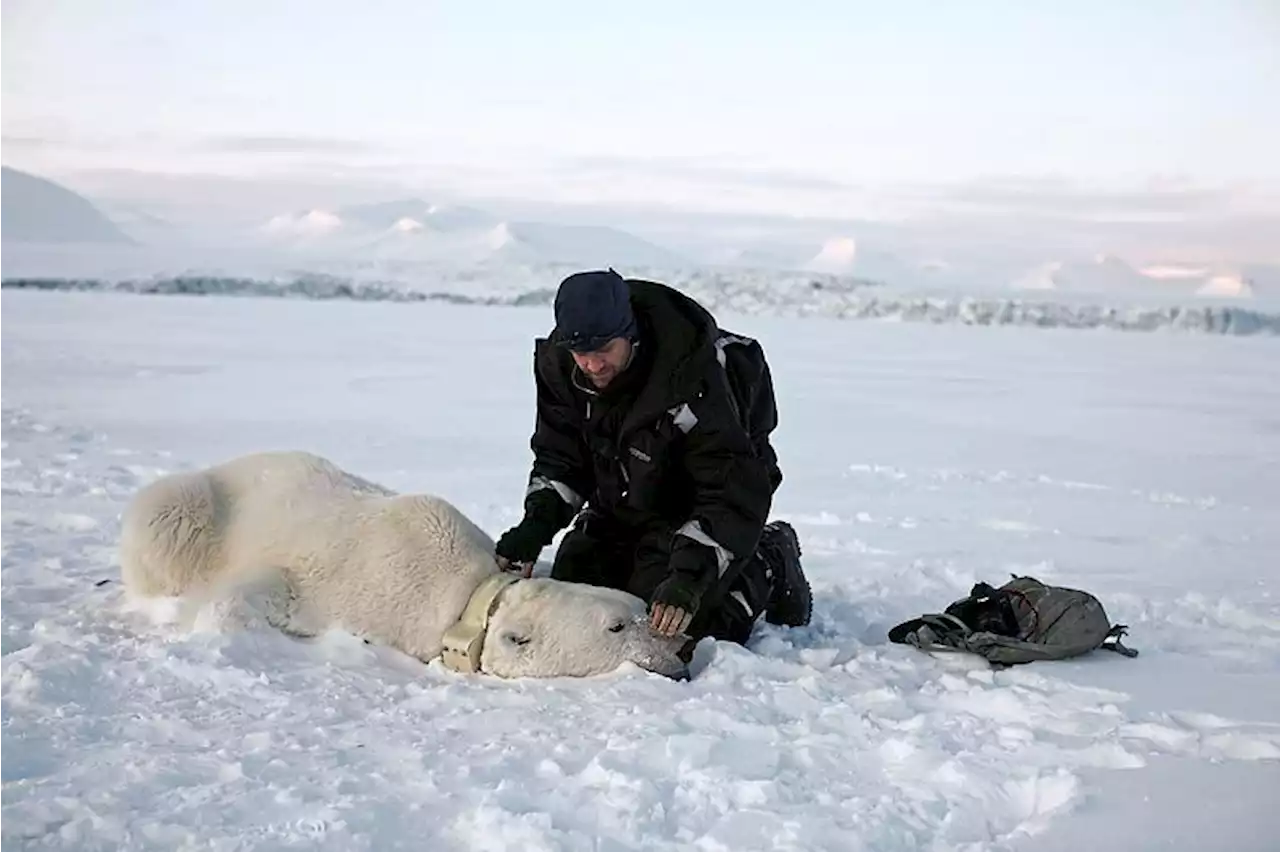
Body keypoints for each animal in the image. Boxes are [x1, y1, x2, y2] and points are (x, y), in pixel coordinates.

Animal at [120, 447, 691, 680]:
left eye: (640, 606)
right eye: (617, 627)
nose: (681, 654)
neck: (467, 598)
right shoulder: (346, 577)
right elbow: (264, 588)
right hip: (190, 507)